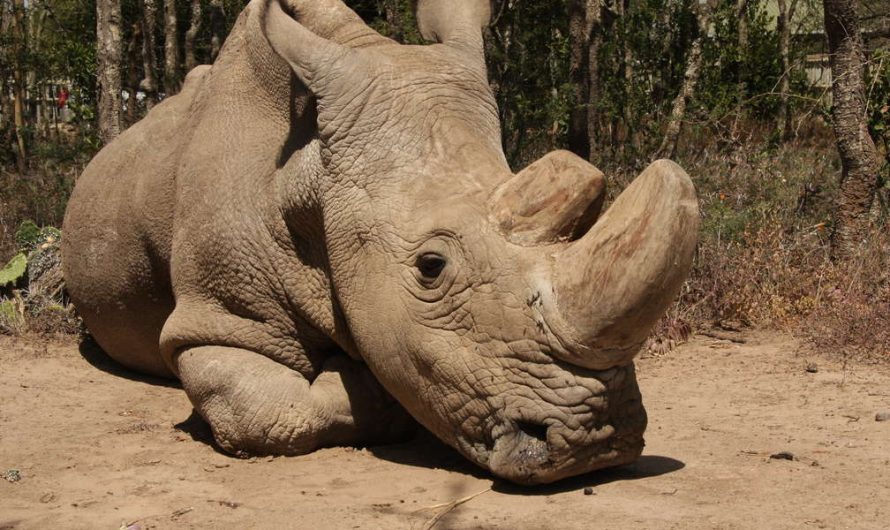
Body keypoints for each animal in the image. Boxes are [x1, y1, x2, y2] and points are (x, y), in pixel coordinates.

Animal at [64, 0, 700, 482]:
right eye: (430, 266)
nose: (599, 441)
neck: (310, 178)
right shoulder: (218, 318)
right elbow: (268, 413)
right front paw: (363, 385)